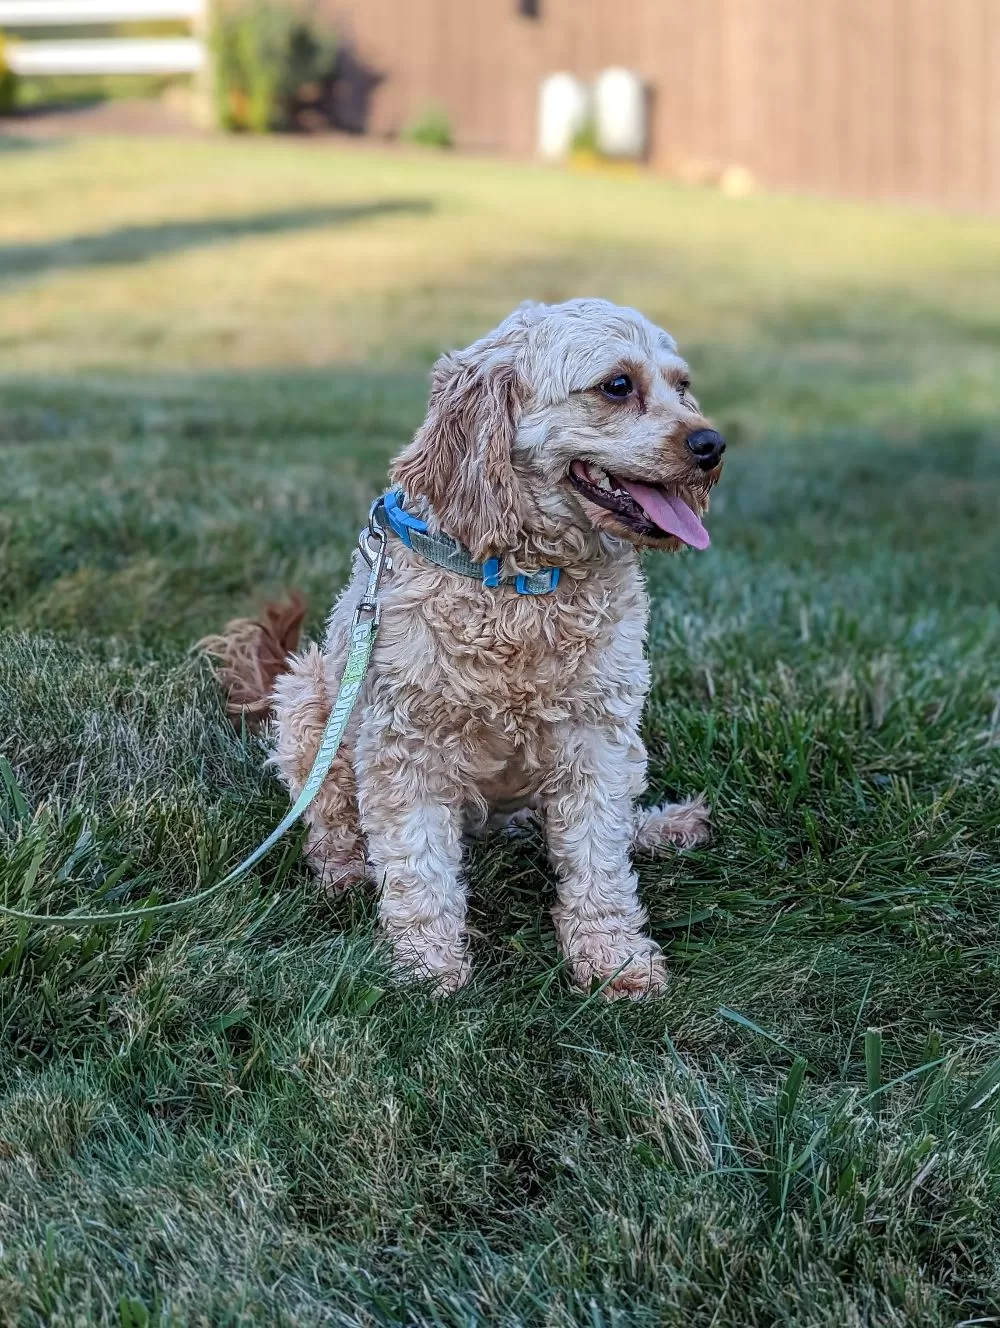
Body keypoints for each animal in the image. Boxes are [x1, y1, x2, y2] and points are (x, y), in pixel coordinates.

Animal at [203, 298, 722, 998]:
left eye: (682, 385)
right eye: (618, 385)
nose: (711, 445)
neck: (524, 582)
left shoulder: (599, 737)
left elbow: (599, 857)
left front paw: (613, 956)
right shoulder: (405, 746)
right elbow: (417, 865)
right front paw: (426, 969)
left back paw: (659, 826)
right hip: (309, 698)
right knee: (329, 819)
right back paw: (343, 872)